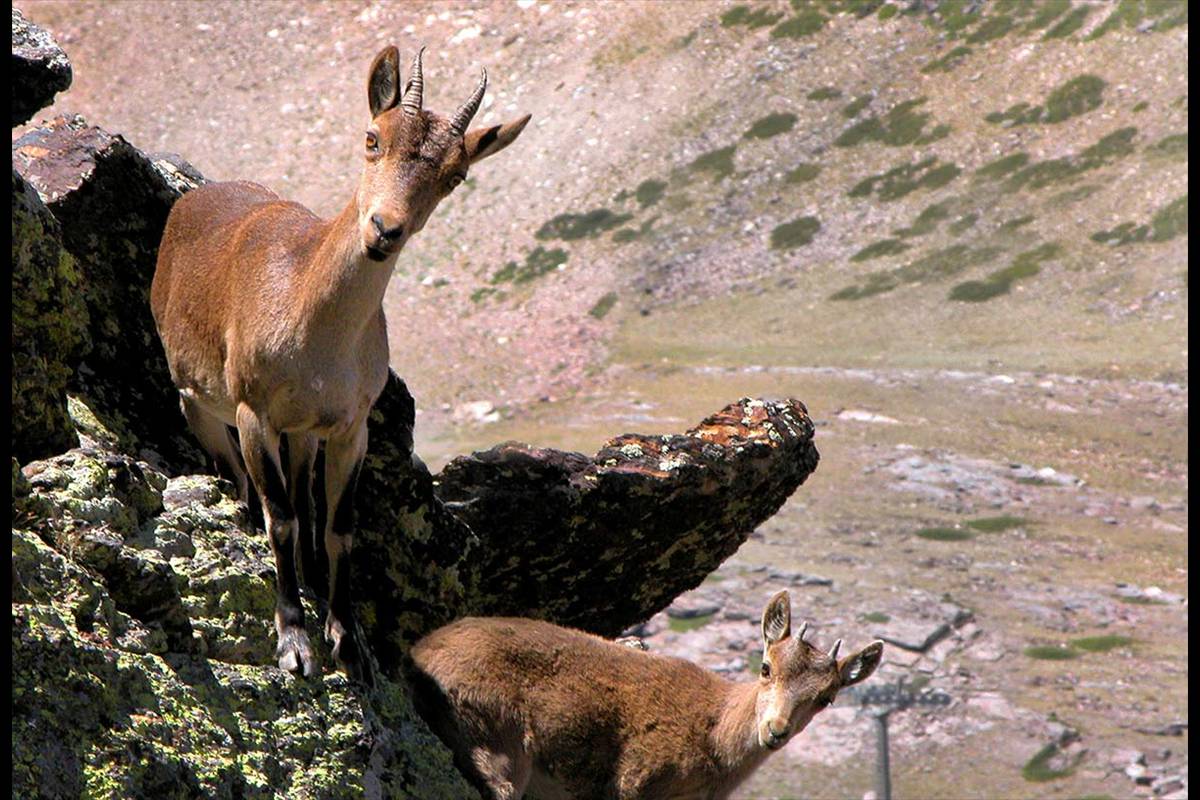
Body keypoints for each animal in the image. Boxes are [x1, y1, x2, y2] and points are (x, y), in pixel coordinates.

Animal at [151, 46, 530, 679]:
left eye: (454, 176)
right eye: (373, 138)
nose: (384, 230)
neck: (315, 330)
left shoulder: (352, 428)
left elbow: (339, 527)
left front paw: (349, 641)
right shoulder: (254, 412)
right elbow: (280, 515)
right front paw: (294, 642)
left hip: (305, 432)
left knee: (304, 495)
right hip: (197, 401)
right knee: (240, 479)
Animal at [411, 591, 884, 799]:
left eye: (826, 699)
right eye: (766, 667)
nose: (776, 730)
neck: (714, 737)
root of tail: (418, 654)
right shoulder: (633, 784)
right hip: (496, 745)